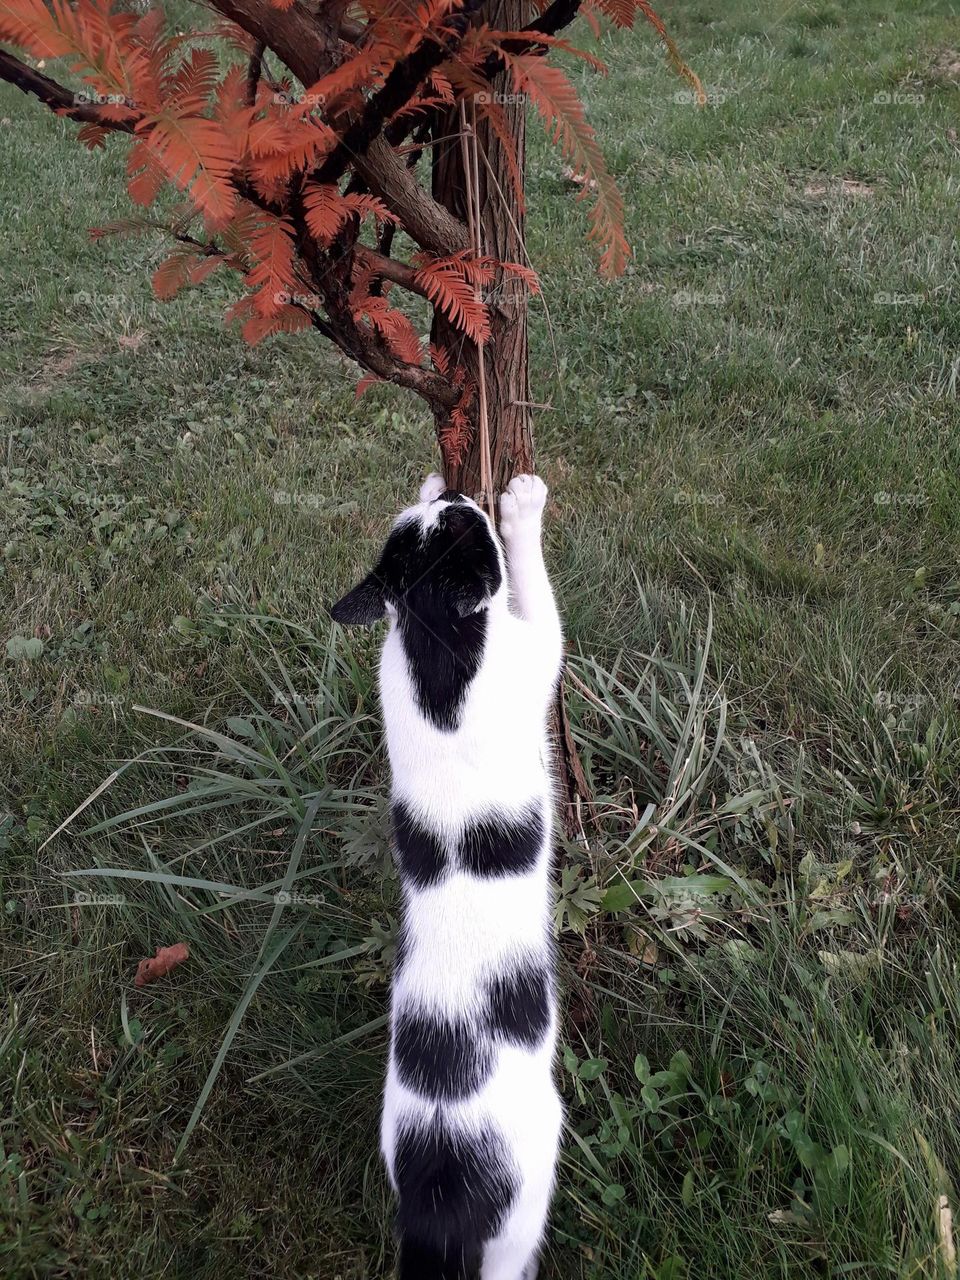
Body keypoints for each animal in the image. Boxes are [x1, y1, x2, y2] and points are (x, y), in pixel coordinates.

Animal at [332, 473, 563, 1280]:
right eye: (468, 528)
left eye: (444, 515)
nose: (460, 493)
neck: (433, 641)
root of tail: (439, 1192)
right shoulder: (535, 648)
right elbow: (536, 590)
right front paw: (524, 510)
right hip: (529, 1189)